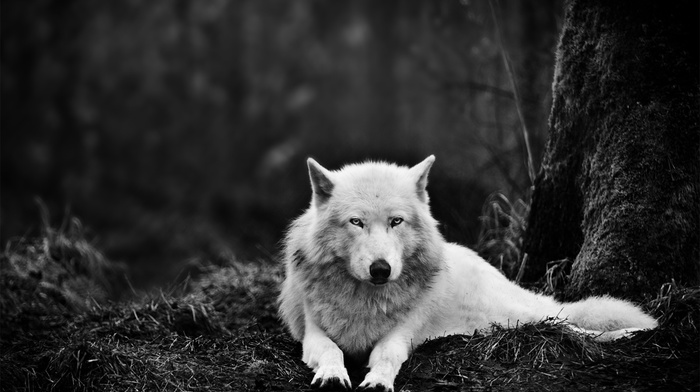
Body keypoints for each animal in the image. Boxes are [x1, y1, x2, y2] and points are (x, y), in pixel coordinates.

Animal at [278, 156, 656, 392]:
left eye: (396, 221)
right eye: (356, 222)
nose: (381, 269)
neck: (366, 300)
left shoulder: (401, 335)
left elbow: (384, 355)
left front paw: (377, 381)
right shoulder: (312, 334)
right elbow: (332, 351)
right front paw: (332, 375)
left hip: (519, 315)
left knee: (570, 323)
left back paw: (632, 332)